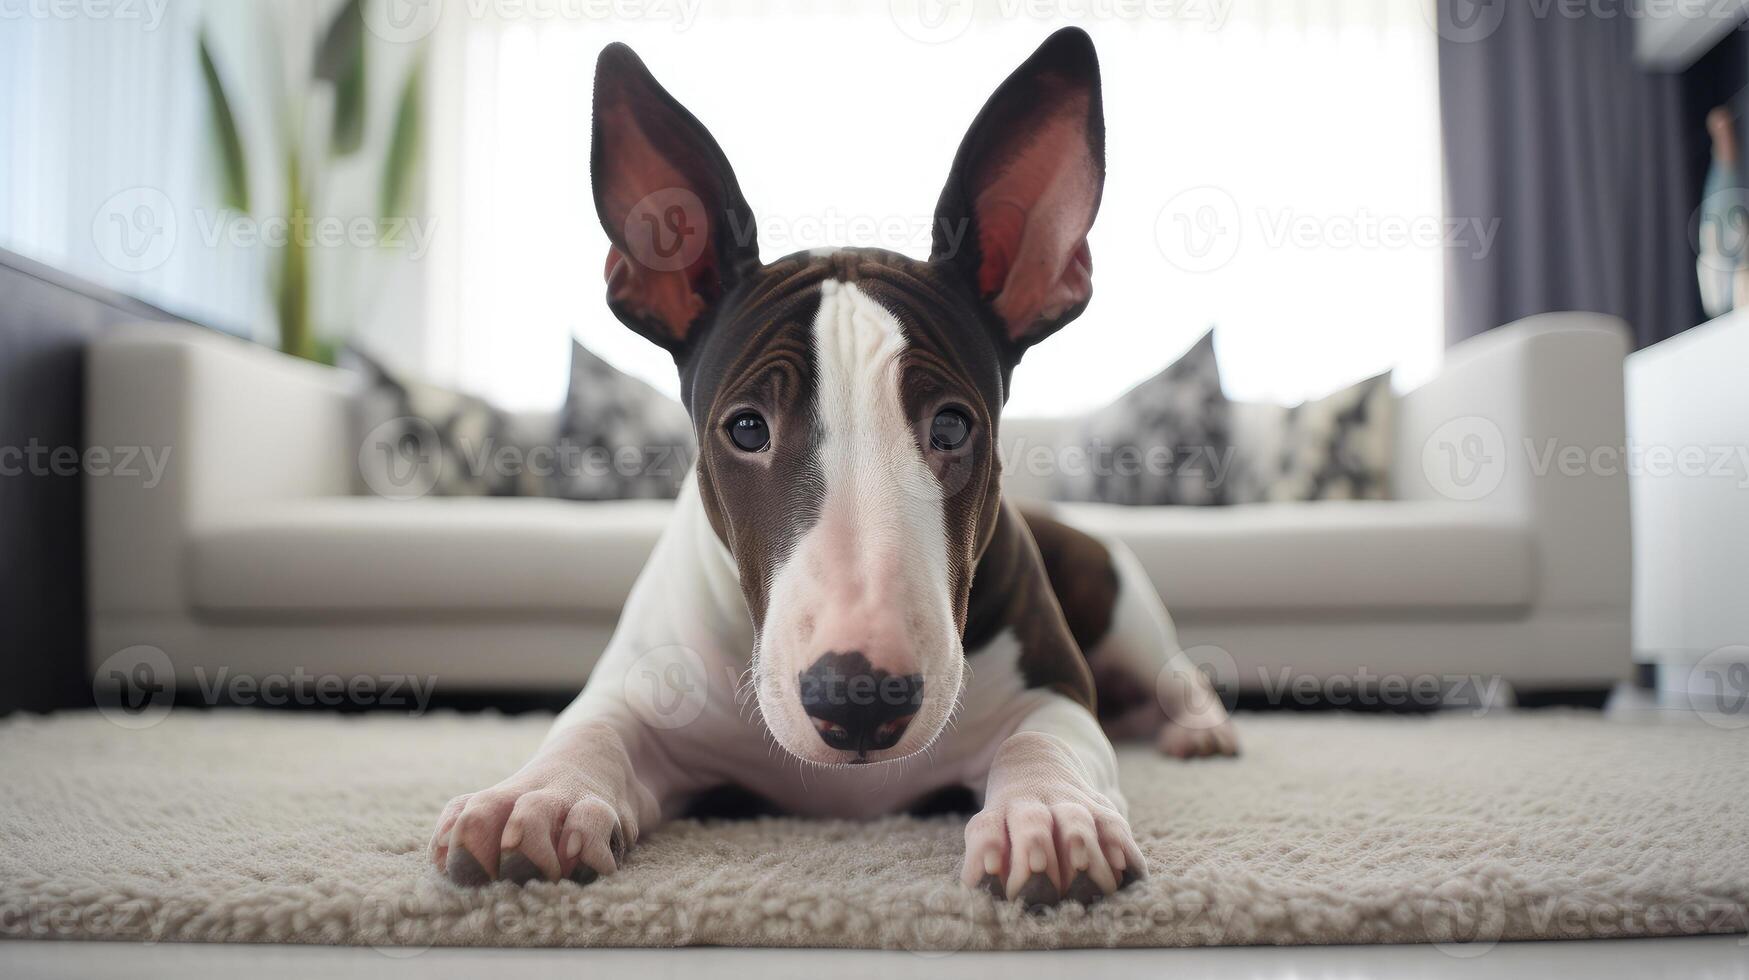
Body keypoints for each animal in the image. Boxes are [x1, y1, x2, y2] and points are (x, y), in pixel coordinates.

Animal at [430, 24, 1238, 910]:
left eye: (950, 424)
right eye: (747, 427)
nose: (857, 699)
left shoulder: (1054, 693)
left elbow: (1046, 741)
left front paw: (1052, 817)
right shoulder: (642, 693)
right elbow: (594, 727)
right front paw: (532, 800)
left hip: (1123, 602)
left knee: (1171, 675)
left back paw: (1198, 730)